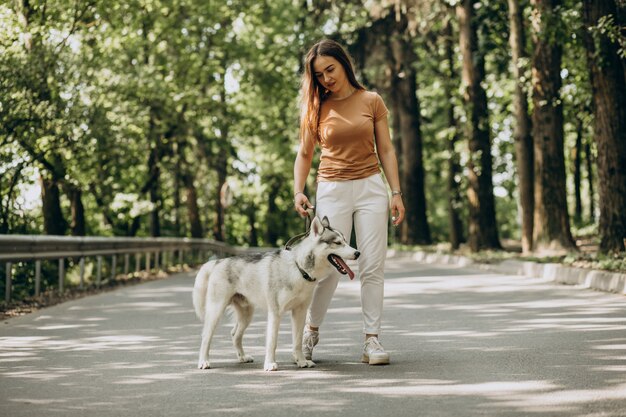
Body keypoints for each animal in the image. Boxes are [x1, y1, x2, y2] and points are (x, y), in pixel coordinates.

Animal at [190, 214, 358, 370]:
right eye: (337, 243)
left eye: (345, 240)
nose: (358, 253)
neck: (299, 269)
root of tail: (217, 262)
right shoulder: (275, 313)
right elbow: (272, 341)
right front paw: (270, 363)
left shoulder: (300, 312)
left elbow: (297, 341)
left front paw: (301, 361)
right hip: (216, 311)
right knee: (206, 337)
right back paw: (203, 361)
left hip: (246, 315)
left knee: (234, 334)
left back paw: (242, 357)